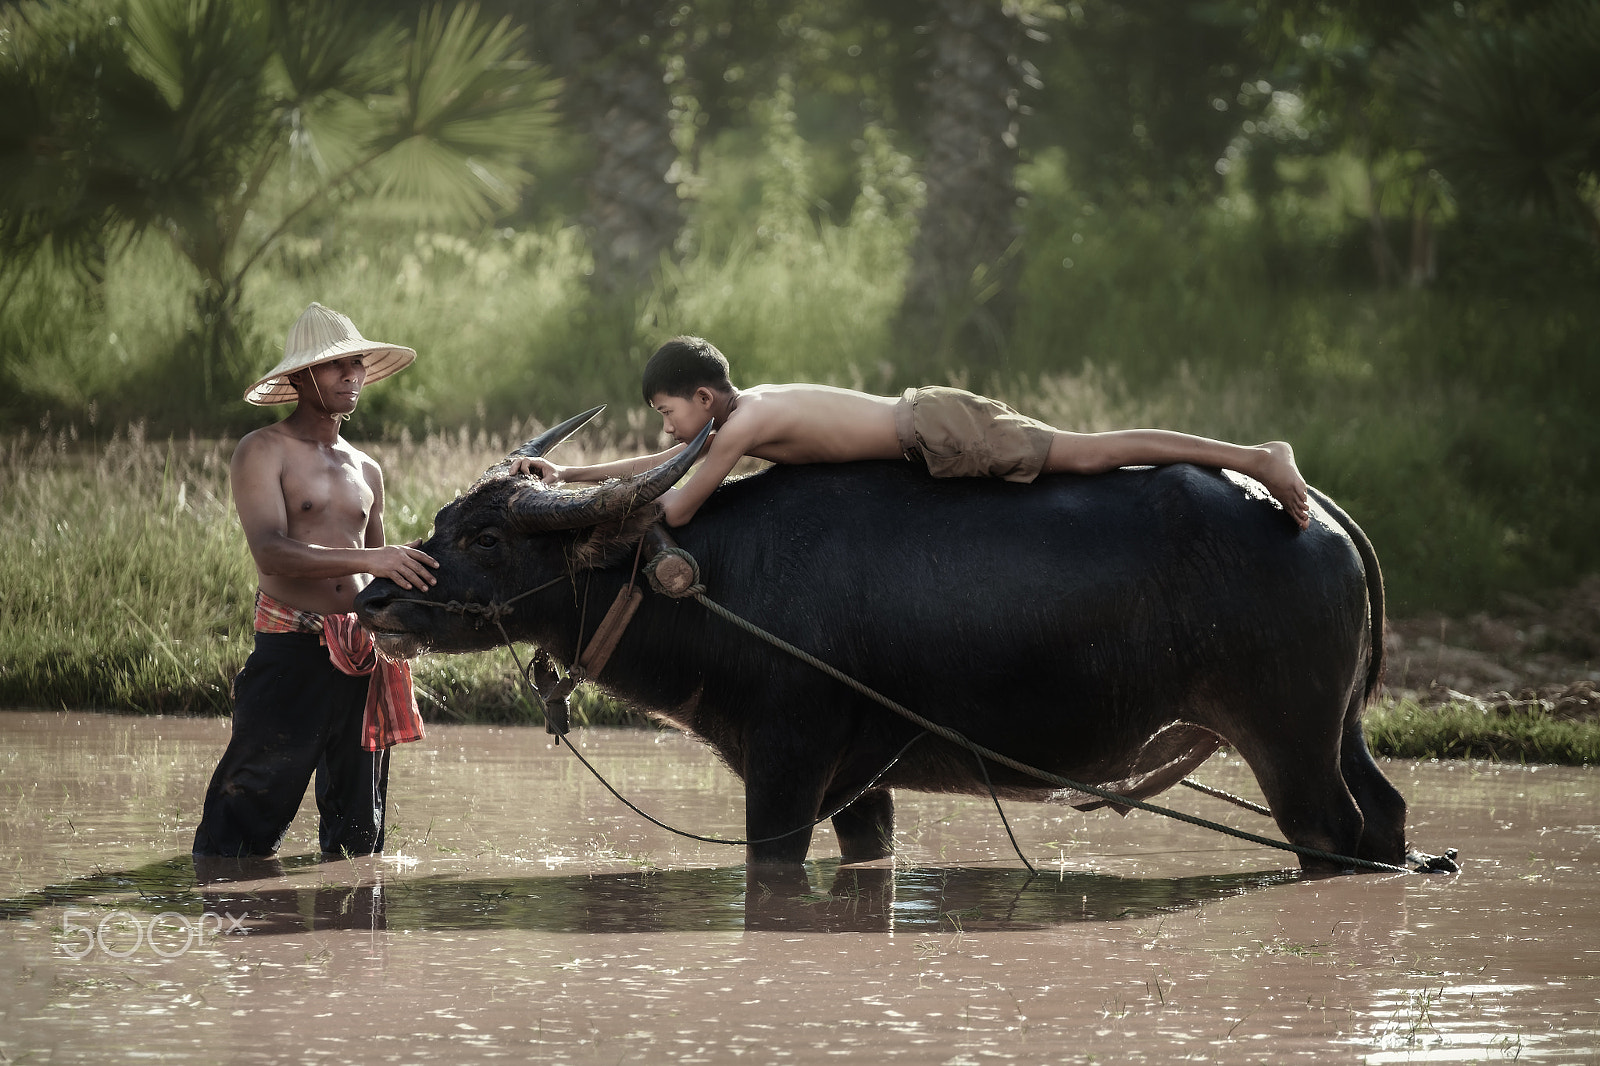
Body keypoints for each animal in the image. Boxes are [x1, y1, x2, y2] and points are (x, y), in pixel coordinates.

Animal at [356, 409, 1408, 870]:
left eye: (488, 538)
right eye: (444, 519)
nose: (375, 599)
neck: (712, 583)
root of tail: (1319, 517)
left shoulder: (785, 764)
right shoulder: (862, 782)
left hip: (1286, 735)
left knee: (1332, 834)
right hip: (1338, 727)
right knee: (1386, 810)